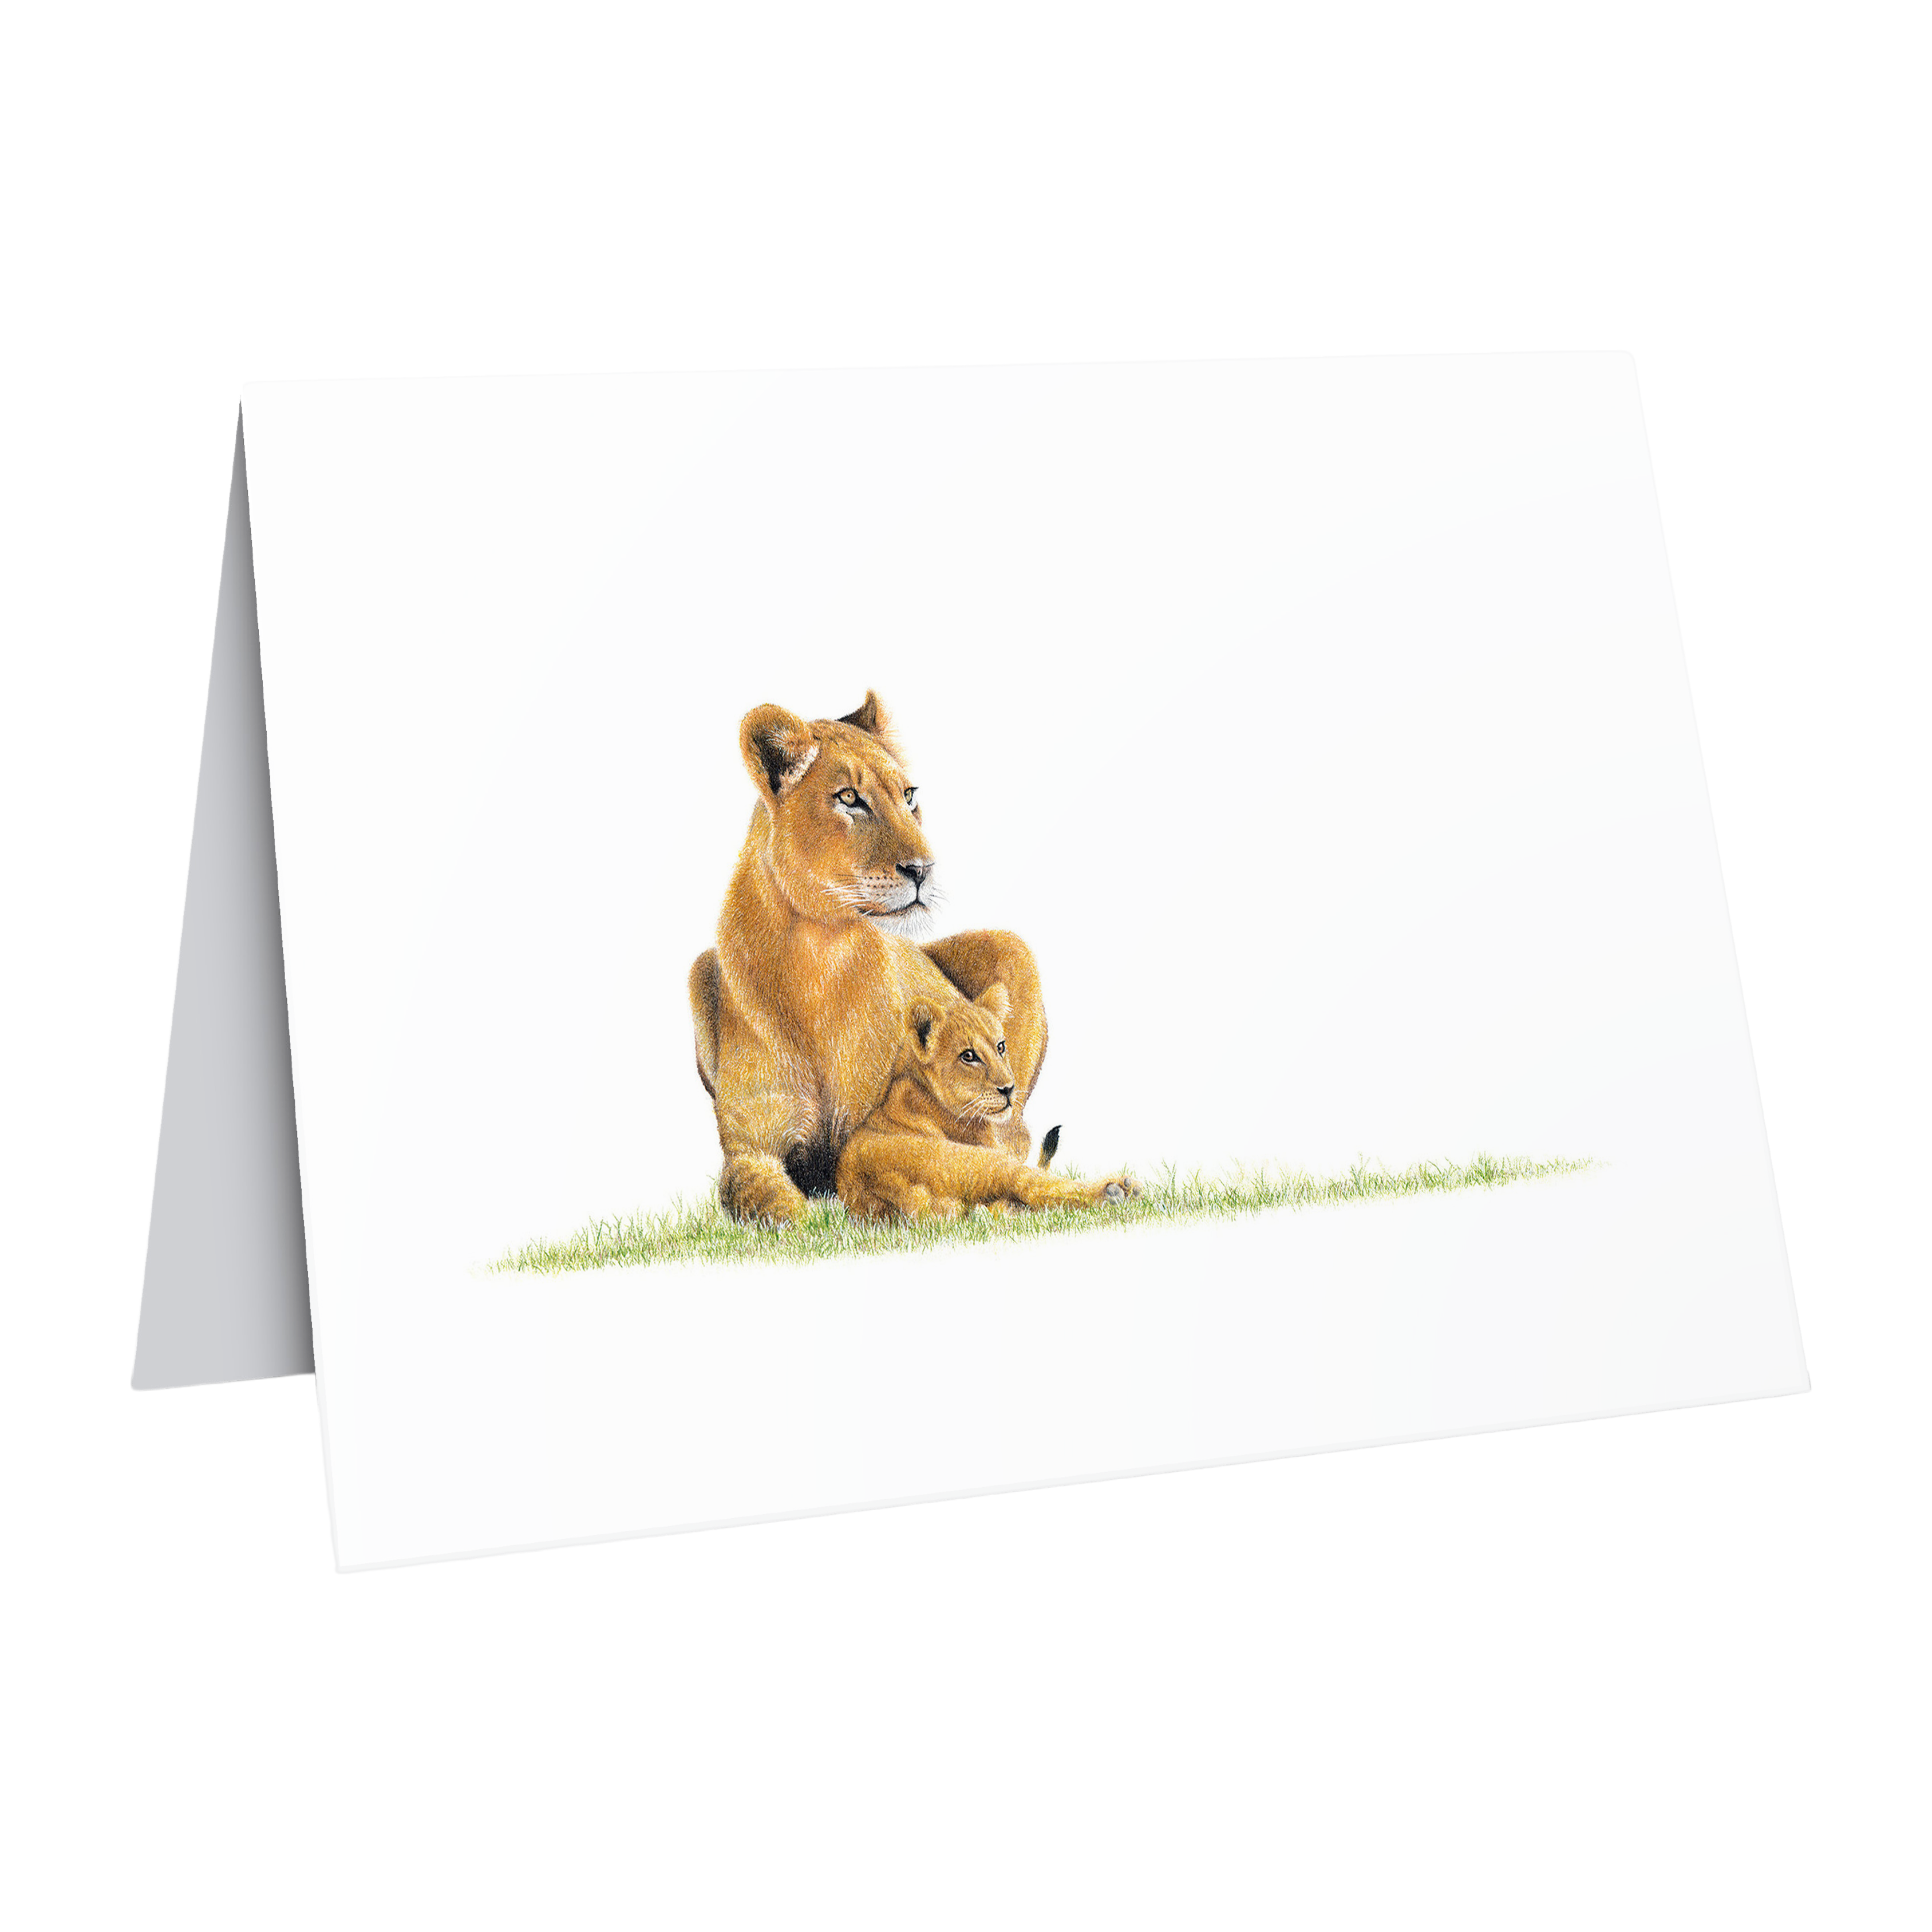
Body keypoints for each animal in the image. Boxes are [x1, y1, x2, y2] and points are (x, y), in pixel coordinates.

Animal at [689, 690, 1048, 1225]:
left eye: (909, 795)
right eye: (849, 798)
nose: (923, 869)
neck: (816, 952)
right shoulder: (751, 1149)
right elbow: (772, 1203)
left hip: (1012, 947)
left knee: (1018, 1131)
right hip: (698, 968)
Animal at [836, 984, 1140, 1221]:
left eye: (1001, 1047)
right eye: (969, 1056)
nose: (1009, 1089)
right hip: (983, 1163)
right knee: (1031, 1187)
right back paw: (1117, 1190)